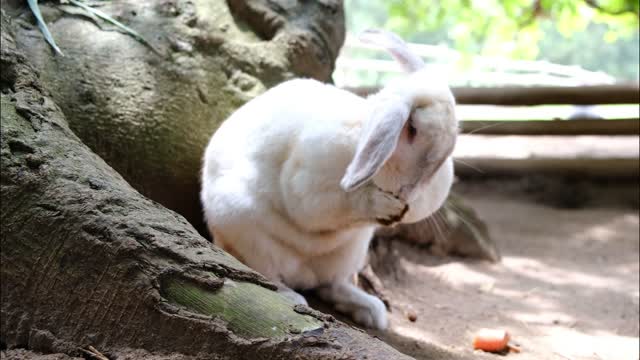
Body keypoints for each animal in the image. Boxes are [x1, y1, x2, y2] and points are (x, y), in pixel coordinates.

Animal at [200, 29, 456, 330]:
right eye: (413, 129)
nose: (414, 191)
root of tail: (304, 273)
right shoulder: (308, 186)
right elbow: (333, 203)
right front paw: (385, 205)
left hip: (349, 253)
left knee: (331, 286)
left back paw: (373, 312)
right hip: (247, 232)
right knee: (266, 277)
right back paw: (292, 297)